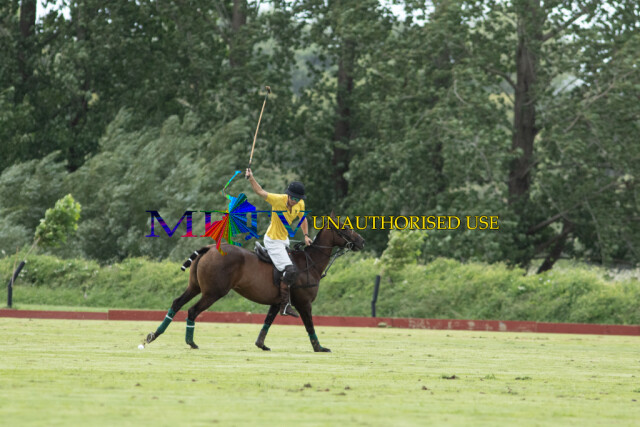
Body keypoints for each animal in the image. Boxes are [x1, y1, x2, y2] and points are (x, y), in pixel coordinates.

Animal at [145, 218, 365, 352]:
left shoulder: (277, 302)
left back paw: (153, 335)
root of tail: (209, 248)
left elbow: (267, 322)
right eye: (345, 227)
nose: (362, 241)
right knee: (192, 310)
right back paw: (191, 342)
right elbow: (309, 325)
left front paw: (261, 345)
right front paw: (320, 348)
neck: (309, 262)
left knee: (176, 303)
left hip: (195, 287)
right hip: (214, 292)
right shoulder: (304, 303)